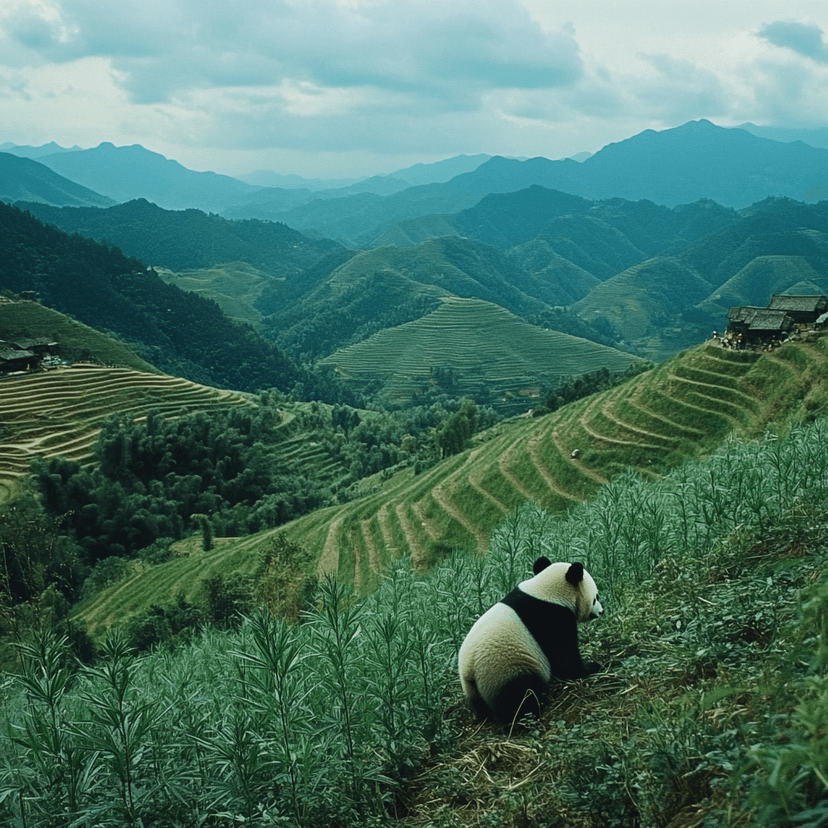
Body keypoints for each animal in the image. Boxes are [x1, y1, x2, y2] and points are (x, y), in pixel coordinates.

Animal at [458, 557, 603, 724]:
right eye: (596, 597)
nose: (601, 611)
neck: (546, 592)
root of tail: (470, 671)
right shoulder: (551, 618)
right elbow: (564, 655)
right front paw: (592, 667)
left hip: (473, 687)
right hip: (505, 670)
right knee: (521, 694)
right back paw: (526, 717)